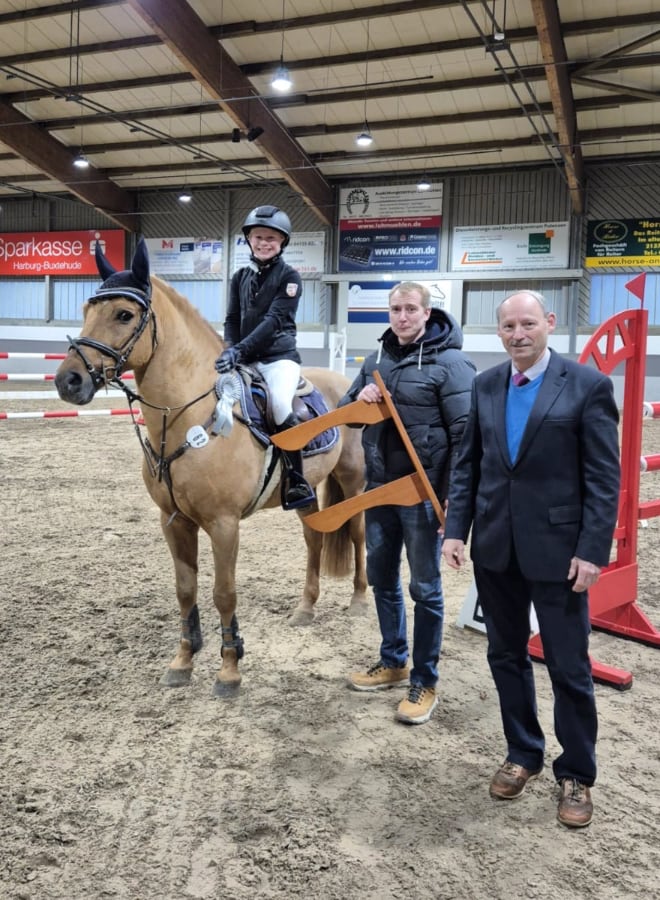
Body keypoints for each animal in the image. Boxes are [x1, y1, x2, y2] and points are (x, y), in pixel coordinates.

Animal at [54, 239, 368, 696]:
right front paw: (183, 662)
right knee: (314, 540)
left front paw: (229, 669)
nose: (68, 381)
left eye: (124, 314)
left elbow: (224, 592)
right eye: (85, 310)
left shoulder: (223, 523)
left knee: (359, 535)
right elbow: (186, 590)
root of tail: (346, 383)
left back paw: (360, 600)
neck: (185, 418)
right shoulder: (174, 520)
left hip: (353, 480)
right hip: (306, 493)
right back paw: (305, 608)